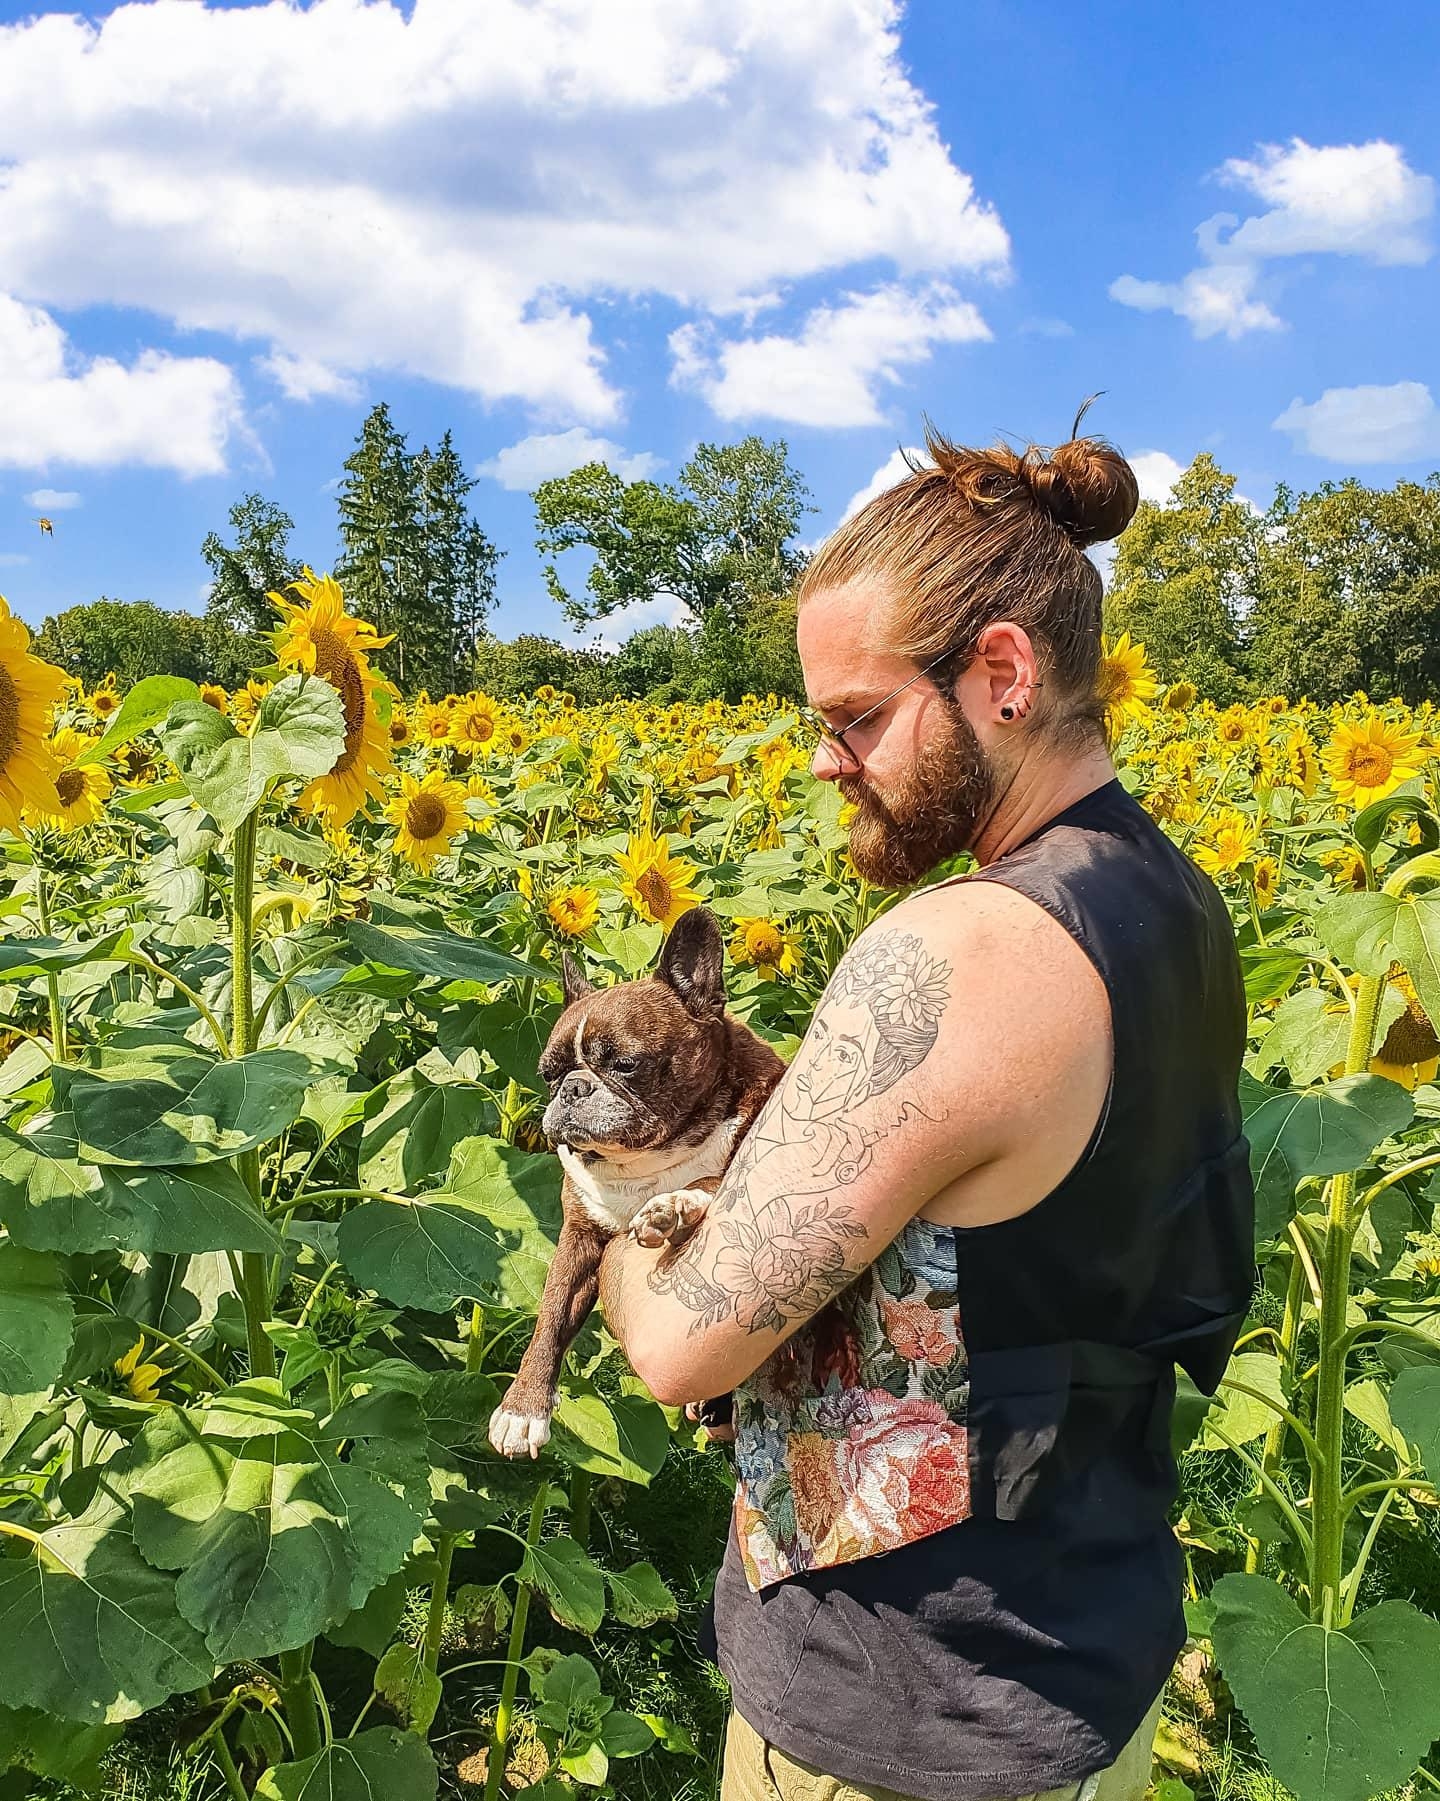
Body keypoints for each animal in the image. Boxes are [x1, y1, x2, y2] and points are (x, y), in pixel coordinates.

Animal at [493, 907, 788, 1455]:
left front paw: (674, 1207)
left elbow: (713, 1178)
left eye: (626, 1065)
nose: (572, 1088)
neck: (648, 1161)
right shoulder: (579, 1238)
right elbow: (552, 1314)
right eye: (548, 1075)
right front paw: (522, 1409)